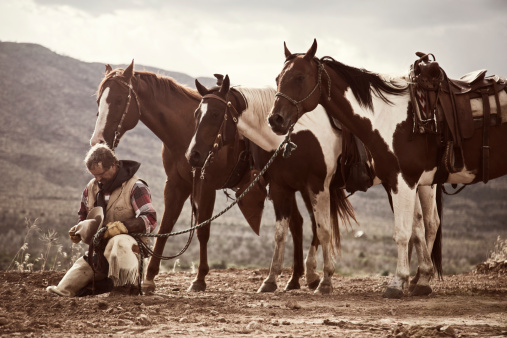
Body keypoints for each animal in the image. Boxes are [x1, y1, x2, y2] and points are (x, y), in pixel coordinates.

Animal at [187, 74, 358, 294]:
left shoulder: (317, 185)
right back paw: (306, 276)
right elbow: (281, 232)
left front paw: (326, 281)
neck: (292, 137)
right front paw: (271, 279)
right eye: (196, 114)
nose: (193, 155)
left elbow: (324, 230)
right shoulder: (281, 187)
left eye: (216, 114)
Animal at [268, 39, 506, 298]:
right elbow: (416, 229)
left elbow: (403, 232)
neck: (385, 118)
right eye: (277, 77)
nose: (275, 120)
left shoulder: (403, 180)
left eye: (300, 77)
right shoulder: (401, 181)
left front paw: (397, 282)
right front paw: (419, 280)